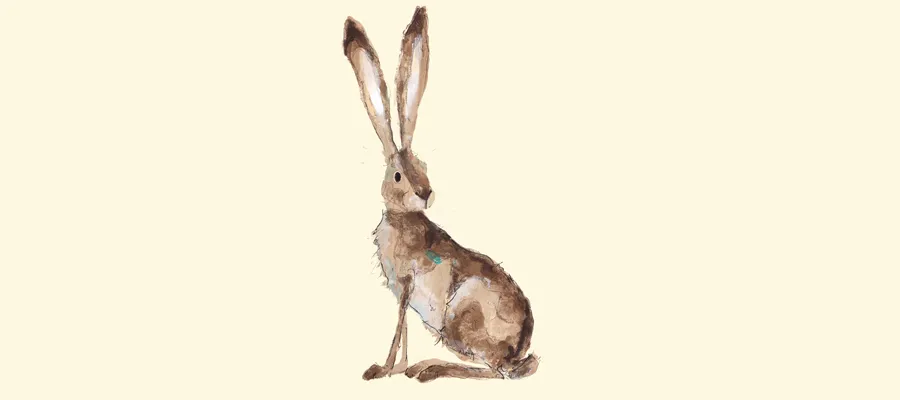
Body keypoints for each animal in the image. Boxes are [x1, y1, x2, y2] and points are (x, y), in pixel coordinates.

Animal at [343, 7, 539, 383]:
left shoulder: (406, 286)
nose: (425, 193)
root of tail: (518, 349)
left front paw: (381, 370)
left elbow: (398, 327)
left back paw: (430, 369)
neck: (402, 218)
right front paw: (397, 368)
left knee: (495, 372)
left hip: (460, 321)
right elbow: (403, 329)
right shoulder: (402, 291)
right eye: (399, 175)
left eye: (424, 165)